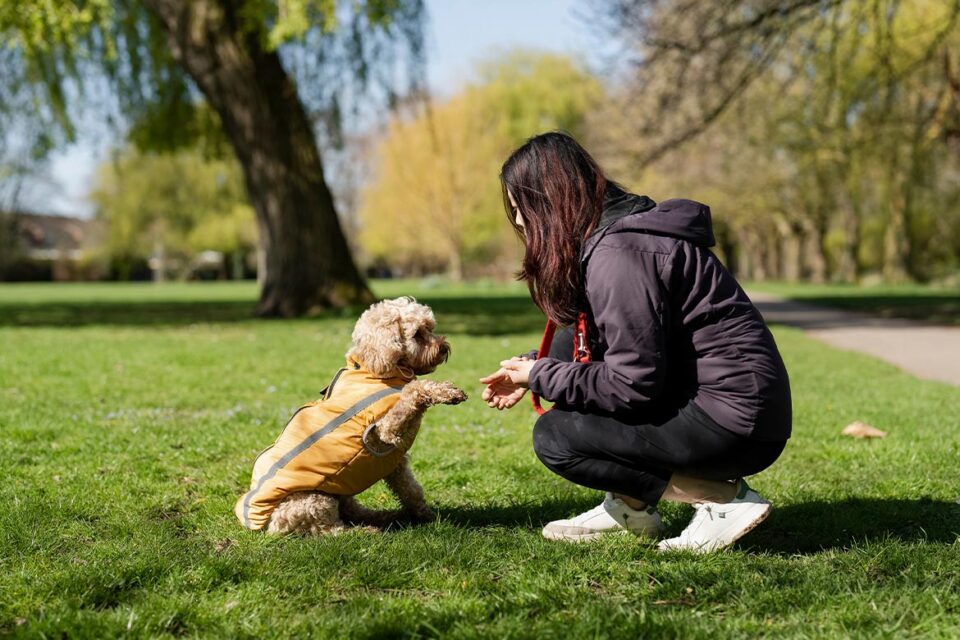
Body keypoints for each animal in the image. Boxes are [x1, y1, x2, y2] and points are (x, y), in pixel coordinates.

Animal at [236, 298, 468, 536]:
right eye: (417, 334)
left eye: (430, 328)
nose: (444, 348)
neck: (374, 371)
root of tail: (267, 525)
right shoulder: (386, 430)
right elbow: (412, 391)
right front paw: (444, 392)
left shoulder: (396, 464)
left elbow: (411, 491)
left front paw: (428, 516)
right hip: (314, 500)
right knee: (331, 529)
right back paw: (365, 530)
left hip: (339, 492)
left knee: (352, 510)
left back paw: (384, 516)